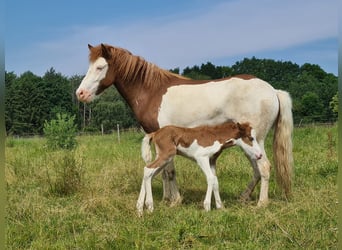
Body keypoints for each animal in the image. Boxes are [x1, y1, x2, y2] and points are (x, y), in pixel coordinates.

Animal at [75, 43, 294, 207]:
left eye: (100, 67)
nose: (80, 94)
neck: (151, 91)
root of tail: (273, 91)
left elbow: (169, 171)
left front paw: (175, 200)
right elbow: (163, 171)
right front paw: (166, 198)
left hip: (255, 141)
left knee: (264, 167)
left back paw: (261, 203)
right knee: (257, 170)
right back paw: (244, 197)